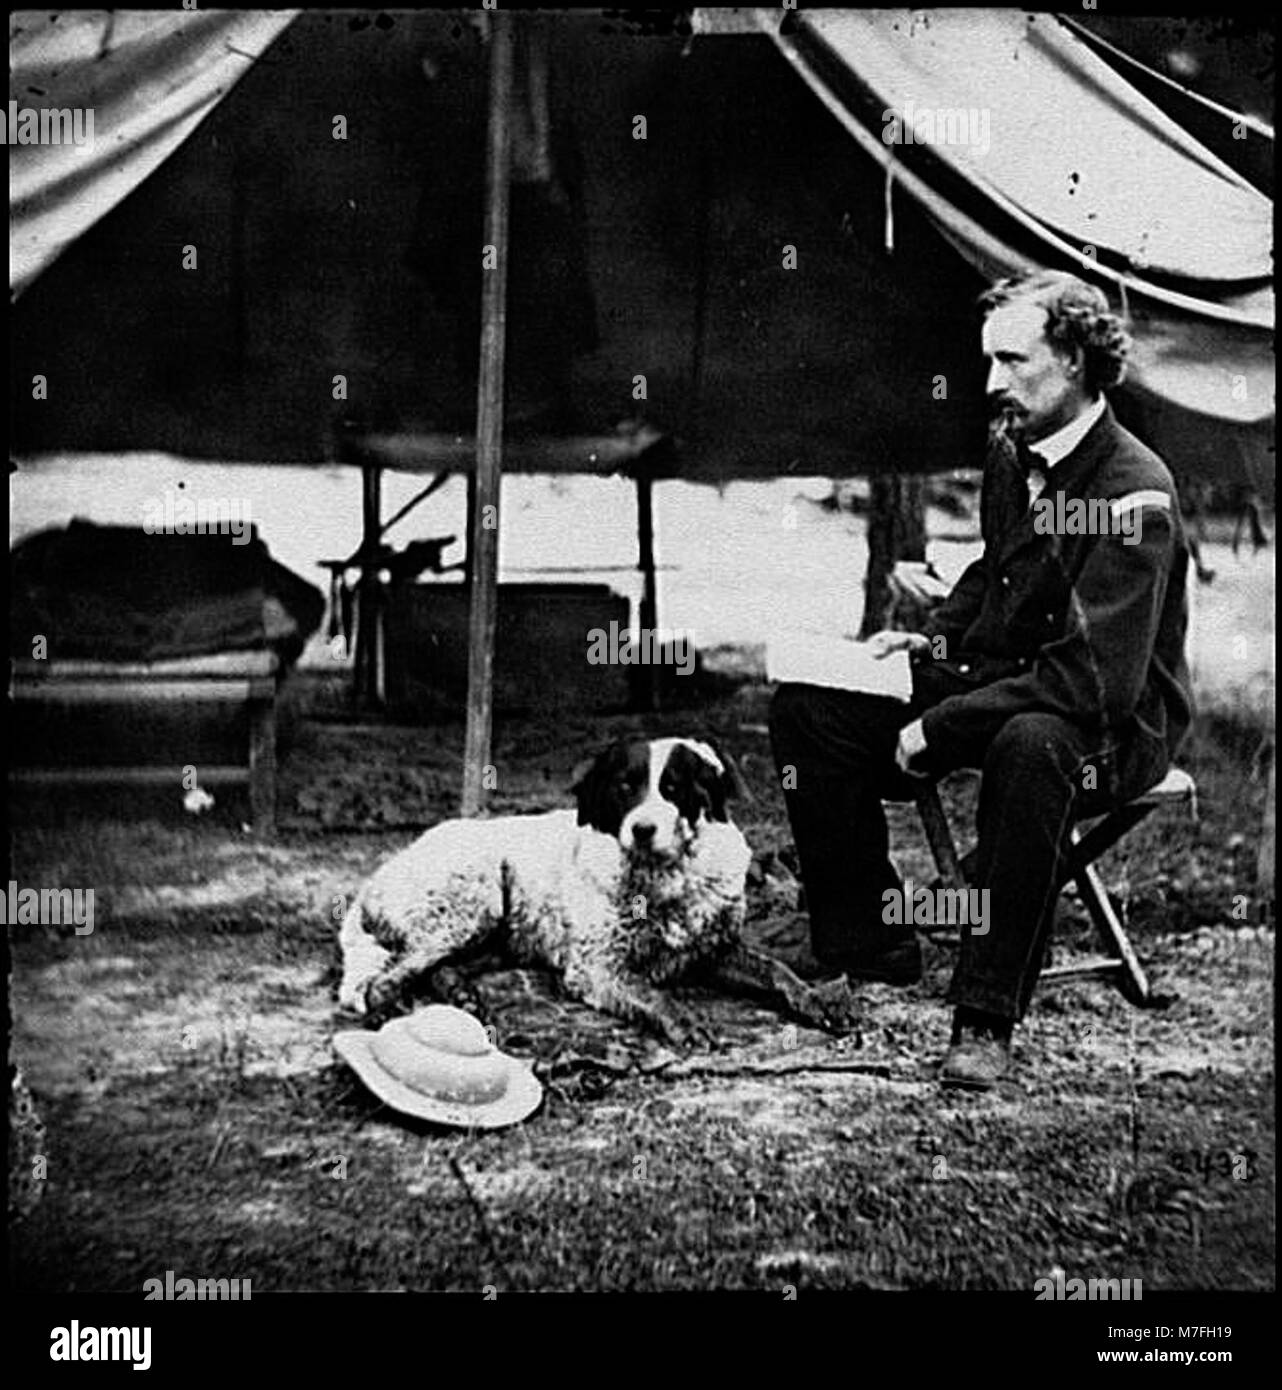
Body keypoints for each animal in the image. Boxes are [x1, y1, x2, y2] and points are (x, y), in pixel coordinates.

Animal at [335, 739, 856, 1045]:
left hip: (496, 932)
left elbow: (778, 971)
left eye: (673, 788)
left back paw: (461, 994)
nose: (643, 830)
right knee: (386, 977)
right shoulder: (597, 969)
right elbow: (651, 992)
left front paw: (818, 1001)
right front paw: (684, 1020)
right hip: (473, 902)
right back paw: (393, 1007)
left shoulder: (714, 950)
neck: (664, 878)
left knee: (433, 967)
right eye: (625, 788)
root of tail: (374, 881)